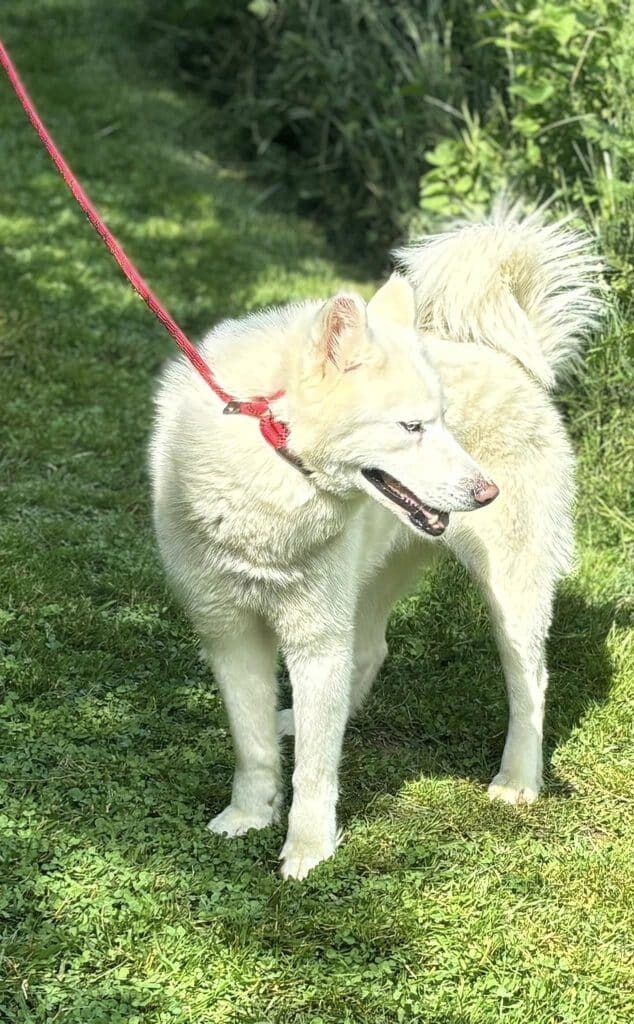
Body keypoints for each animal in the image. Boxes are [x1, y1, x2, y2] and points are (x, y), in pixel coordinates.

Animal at [149, 205, 601, 879]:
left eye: (443, 421)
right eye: (412, 426)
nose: (487, 491)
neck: (273, 463)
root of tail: (510, 361)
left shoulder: (315, 641)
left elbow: (314, 772)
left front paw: (307, 851)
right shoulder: (229, 633)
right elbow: (253, 746)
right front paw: (248, 816)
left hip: (510, 597)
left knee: (532, 685)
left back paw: (518, 780)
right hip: (369, 581)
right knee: (369, 654)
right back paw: (299, 719)